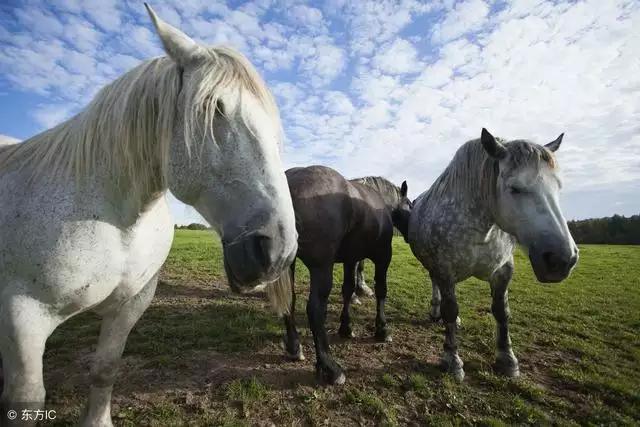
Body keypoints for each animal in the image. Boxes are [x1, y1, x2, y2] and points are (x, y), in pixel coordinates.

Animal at [0, 4, 298, 427]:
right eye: (217, 108)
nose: (278, 252)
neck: (115, 220)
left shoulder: (129, 306)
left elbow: (105, 370)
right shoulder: (21, 316)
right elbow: (27, 398)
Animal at [282, 166, 412, 386]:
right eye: (410, 205)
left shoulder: (351, 259)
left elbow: (348, 289)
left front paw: (346, 326)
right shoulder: (383, 256)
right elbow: (381, 290)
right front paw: (382, 329)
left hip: (288, 264)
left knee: (289, 301)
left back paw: (294, 347)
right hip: (321, 267)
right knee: (315, 310)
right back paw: (330, 368)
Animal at [410, 129, 580, 382]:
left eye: (558, 186)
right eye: (515, 188)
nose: (562, 259)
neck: (483, 228)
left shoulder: (503, 270)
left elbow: (502, 311)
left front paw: (507, 359)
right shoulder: (445, 268)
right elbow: (450, 309)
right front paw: (452, 359)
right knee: (436, 287)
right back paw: (435, 311)